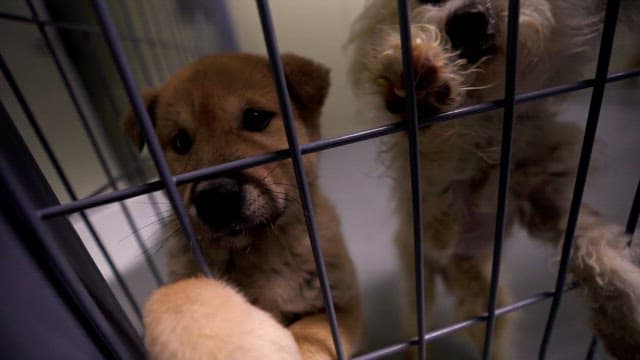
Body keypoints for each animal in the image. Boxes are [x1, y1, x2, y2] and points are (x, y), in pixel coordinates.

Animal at [122, 53, 362, 360]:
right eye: (180, 142)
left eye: (256, 118)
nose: (216, 199)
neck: (255, 254)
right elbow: (179, 295)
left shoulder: (342, 304)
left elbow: (313, 331)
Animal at [348, 0, 640, 358]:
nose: (469, 18)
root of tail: (448, 270)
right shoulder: (436, 214)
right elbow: (438, 154)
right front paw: (420, 89)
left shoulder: (544, 197)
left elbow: (591, 241)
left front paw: (625, 313)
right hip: (418, 281)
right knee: (415, 328)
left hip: (485, 301)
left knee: (490, 330)